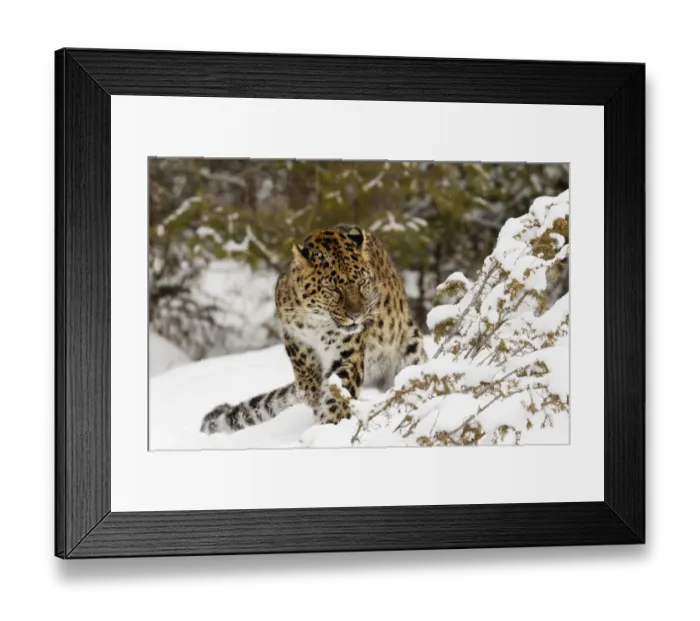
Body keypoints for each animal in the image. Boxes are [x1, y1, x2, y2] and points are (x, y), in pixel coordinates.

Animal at [200, 223, 427, 435]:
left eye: (362, 282)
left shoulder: (348, 352)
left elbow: (339, 387)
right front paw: (314, 396)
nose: (356, 315)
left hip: (410, 347)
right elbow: (306, 372)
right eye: (333, 288)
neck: (317, 322)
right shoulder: (292, 334)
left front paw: (332, 419)